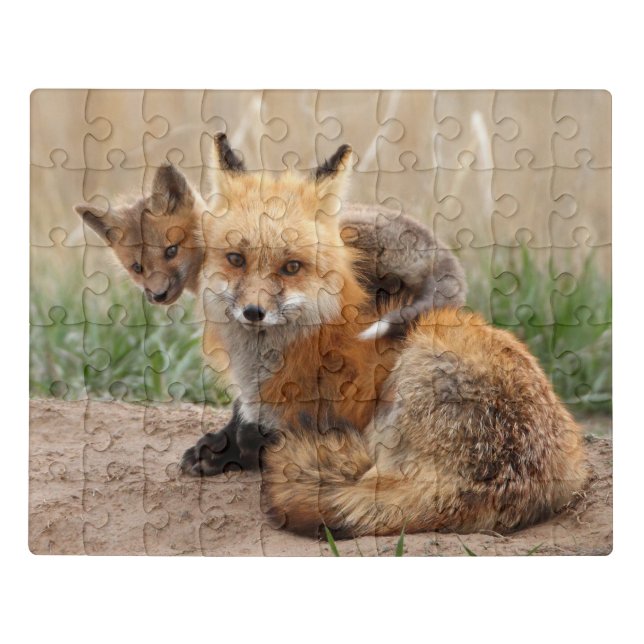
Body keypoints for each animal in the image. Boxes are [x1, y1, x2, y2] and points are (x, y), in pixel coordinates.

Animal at [176, 135, 587, 538]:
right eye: (236, 259)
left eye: (292, 267)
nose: (253, 312)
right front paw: (221, 447)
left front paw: (238, 449)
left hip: (416, 367)